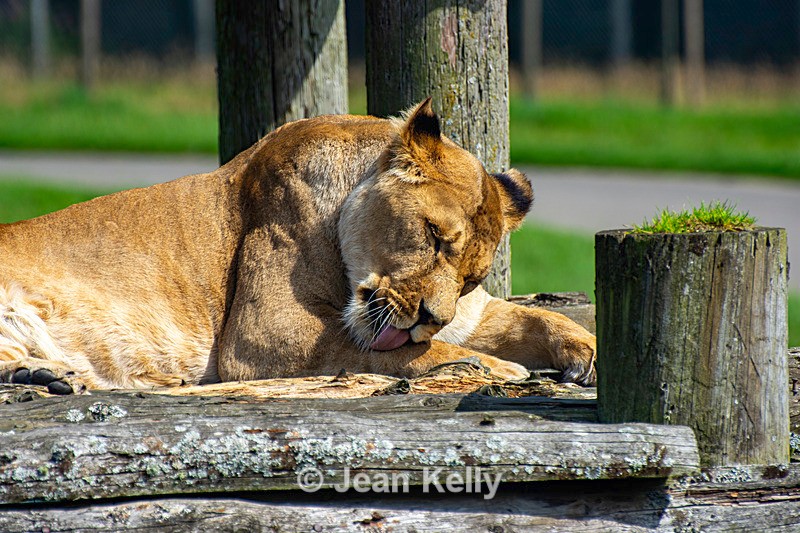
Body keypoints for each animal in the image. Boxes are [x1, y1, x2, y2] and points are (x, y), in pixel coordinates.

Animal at [0, 99, 596, 394]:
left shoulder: (472, 313)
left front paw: (585, 354)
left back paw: (49, 374)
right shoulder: (263, 335)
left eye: (471, 278)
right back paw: (49, 375)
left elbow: (535, 319)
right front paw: (494, 370)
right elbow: (403, 353)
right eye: (431, 236)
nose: (431, 316)